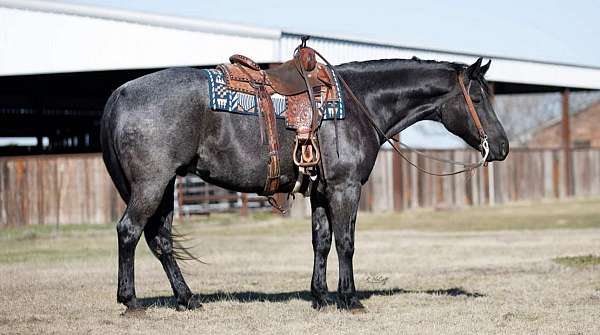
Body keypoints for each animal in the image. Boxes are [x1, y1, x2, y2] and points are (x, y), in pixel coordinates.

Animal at [102, 55, 506, 312]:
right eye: (477, 97)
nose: (501, 147)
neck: (359, 105)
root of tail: (120, 93)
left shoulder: (322, 193)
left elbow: (321, 242)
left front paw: (320, 297)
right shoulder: (346, 188)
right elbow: (345, 243)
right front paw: (349, 299)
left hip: (165, 188)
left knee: (161, 240)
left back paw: (187, 299)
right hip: (152, 185)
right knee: (129, 231)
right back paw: (131, 301)